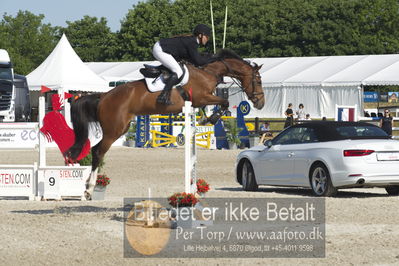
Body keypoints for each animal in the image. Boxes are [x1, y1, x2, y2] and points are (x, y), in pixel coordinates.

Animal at [66, 49, 266, 197]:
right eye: (257, 80)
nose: (260, 103)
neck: (208, 71)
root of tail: (103, 96)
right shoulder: (202, 97)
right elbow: (224, 102)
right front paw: (211, 118)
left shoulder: (199, 101)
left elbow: (219, 105)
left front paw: (206, 118)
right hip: (114, 129)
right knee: (98, 151)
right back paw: (89, 188)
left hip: (121, 127)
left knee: (96, 150)